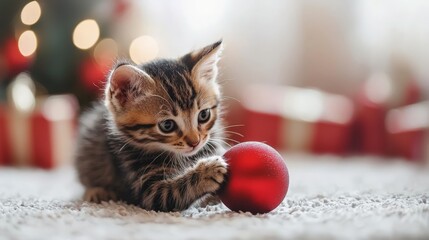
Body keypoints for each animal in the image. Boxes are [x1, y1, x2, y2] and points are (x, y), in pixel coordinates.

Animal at [74, 41, 227, 212]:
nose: (195, 142)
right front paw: (208, 171)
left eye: (203, 115)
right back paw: (97, 191)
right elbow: (173, 192)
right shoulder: (145, 186)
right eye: (167, 125)